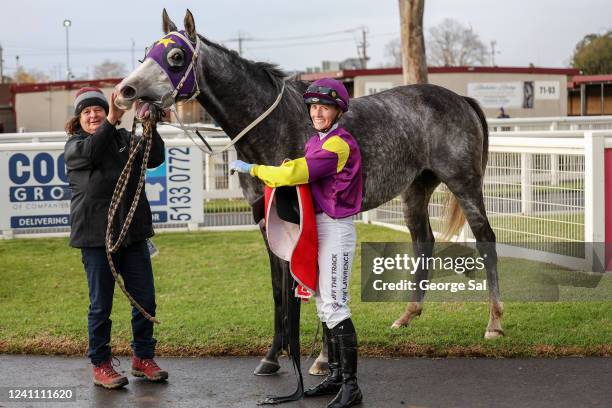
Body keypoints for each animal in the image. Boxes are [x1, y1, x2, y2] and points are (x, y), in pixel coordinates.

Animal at [113, 9, 502, 378]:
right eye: (146, 53)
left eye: (176, 56)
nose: (124, 92)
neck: (277, 126)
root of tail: (460, 98)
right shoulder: (265, 221)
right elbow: (279, 291)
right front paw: (273, 356)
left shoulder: (306, 218)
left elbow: (314, 284)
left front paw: (322, 357)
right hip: (416, 189)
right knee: (424, 240)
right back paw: (407, 315)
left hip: (464, 183)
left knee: (485, 238)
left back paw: (494, 323)